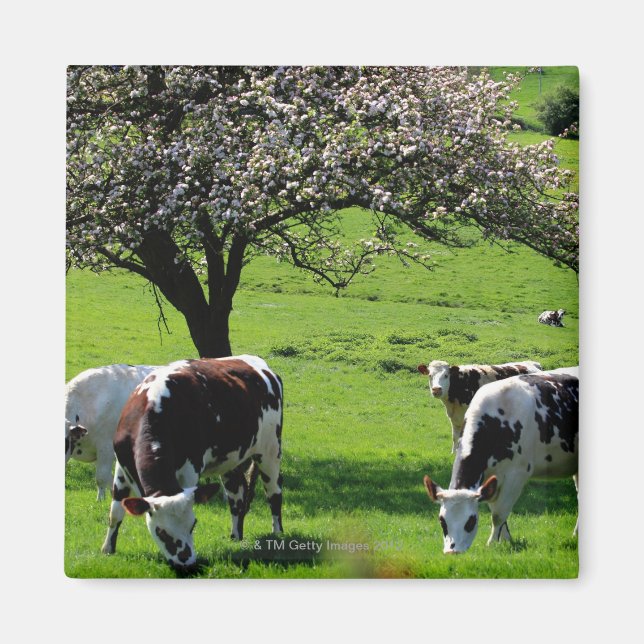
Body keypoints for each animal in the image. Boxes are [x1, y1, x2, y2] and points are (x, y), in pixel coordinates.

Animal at [101, 355, 284, 572]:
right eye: (161, 531)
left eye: (193, 525)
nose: (185, 563)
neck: (153, 407)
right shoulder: (121, 466)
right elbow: (115, 511)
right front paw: (108, 548)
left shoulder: (190, 469)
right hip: (231, 460)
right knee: (236, 494)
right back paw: (235, 536)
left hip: (270, 450)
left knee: (274, 494)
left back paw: (278, 534)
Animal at [423, 372, 578, 554]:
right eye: (442, 520)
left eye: (471, 521)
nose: (452, 551)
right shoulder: (490, 478)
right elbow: (495, 508)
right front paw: (505, 539)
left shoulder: (517, 474)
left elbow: (498, 513)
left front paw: (492, 544)